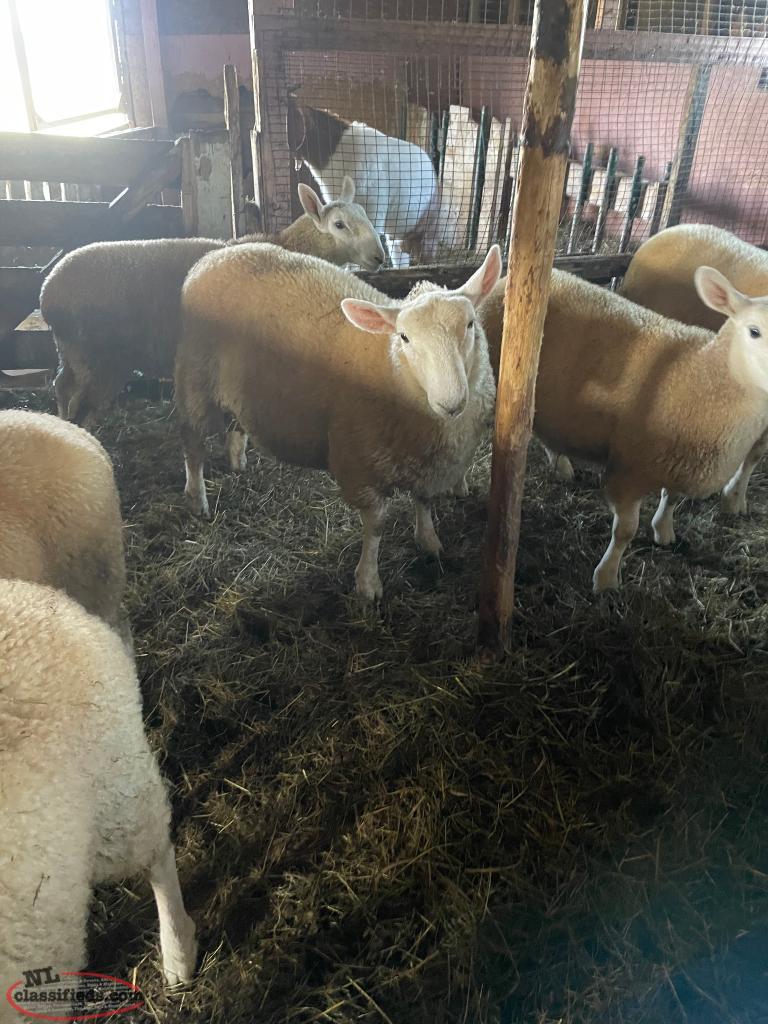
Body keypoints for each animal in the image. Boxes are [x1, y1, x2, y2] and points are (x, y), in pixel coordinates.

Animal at [40, 177, 384, 429]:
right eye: (339, 224)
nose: (380, 257)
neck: (287, 246)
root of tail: (47, 291)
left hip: (70, 351)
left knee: (61, 386)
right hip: (93, 356)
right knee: (78, 397)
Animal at [175, 243, 501, 600]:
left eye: (470, 324)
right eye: (404, 337)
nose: (451, 402)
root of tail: (216, 255)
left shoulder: (430, 464)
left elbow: (424, 502)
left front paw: (429, 541)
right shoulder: (361, 465)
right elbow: (376, 526)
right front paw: (368, 582)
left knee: (235, 425)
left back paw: (237, 462)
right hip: (195, 378)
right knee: (192, 446)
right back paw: (197, 498)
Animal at [479, 267, 768, 592]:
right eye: (754, 331)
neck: (703, 373)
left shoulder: (680, 461)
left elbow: (672, 498)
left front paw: (664, 530)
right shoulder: (629, 470)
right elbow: (626, 531)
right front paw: (606, 578)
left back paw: (561, 463)